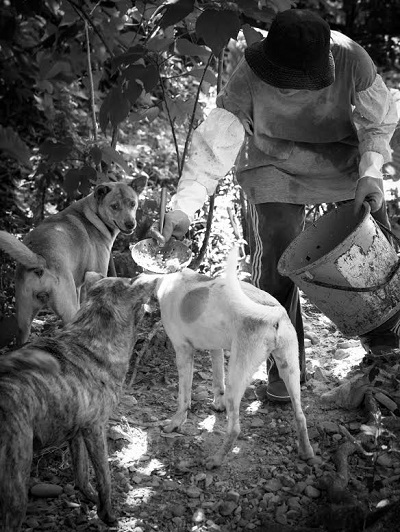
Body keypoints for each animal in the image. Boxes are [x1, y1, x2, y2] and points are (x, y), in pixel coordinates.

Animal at [0, 179, 146, 344]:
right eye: (114, 206)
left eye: (132, 203)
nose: (130, 224)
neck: (93, 214)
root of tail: (40, 258)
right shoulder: (97, 274)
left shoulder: (79, 287)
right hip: (67, 311)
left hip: (23, 321)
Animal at [0, 272, 158, 528]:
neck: (90, 337)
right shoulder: (95, 429)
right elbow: (105, 477)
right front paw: (108, 515)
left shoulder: (76, 431)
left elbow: (82, 473)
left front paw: (89, 498)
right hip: (15, 484)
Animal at [155, 247, 314, 468]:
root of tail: (273, 311)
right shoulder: (216, 349)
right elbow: (217, 381)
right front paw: (217, 405)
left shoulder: (183, 353)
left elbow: (183, 397)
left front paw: (175, 423)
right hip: (289, 370)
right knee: (300, 415)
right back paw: (307, 452)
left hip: (237, 378)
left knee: (235, 429)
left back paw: (216, 459)